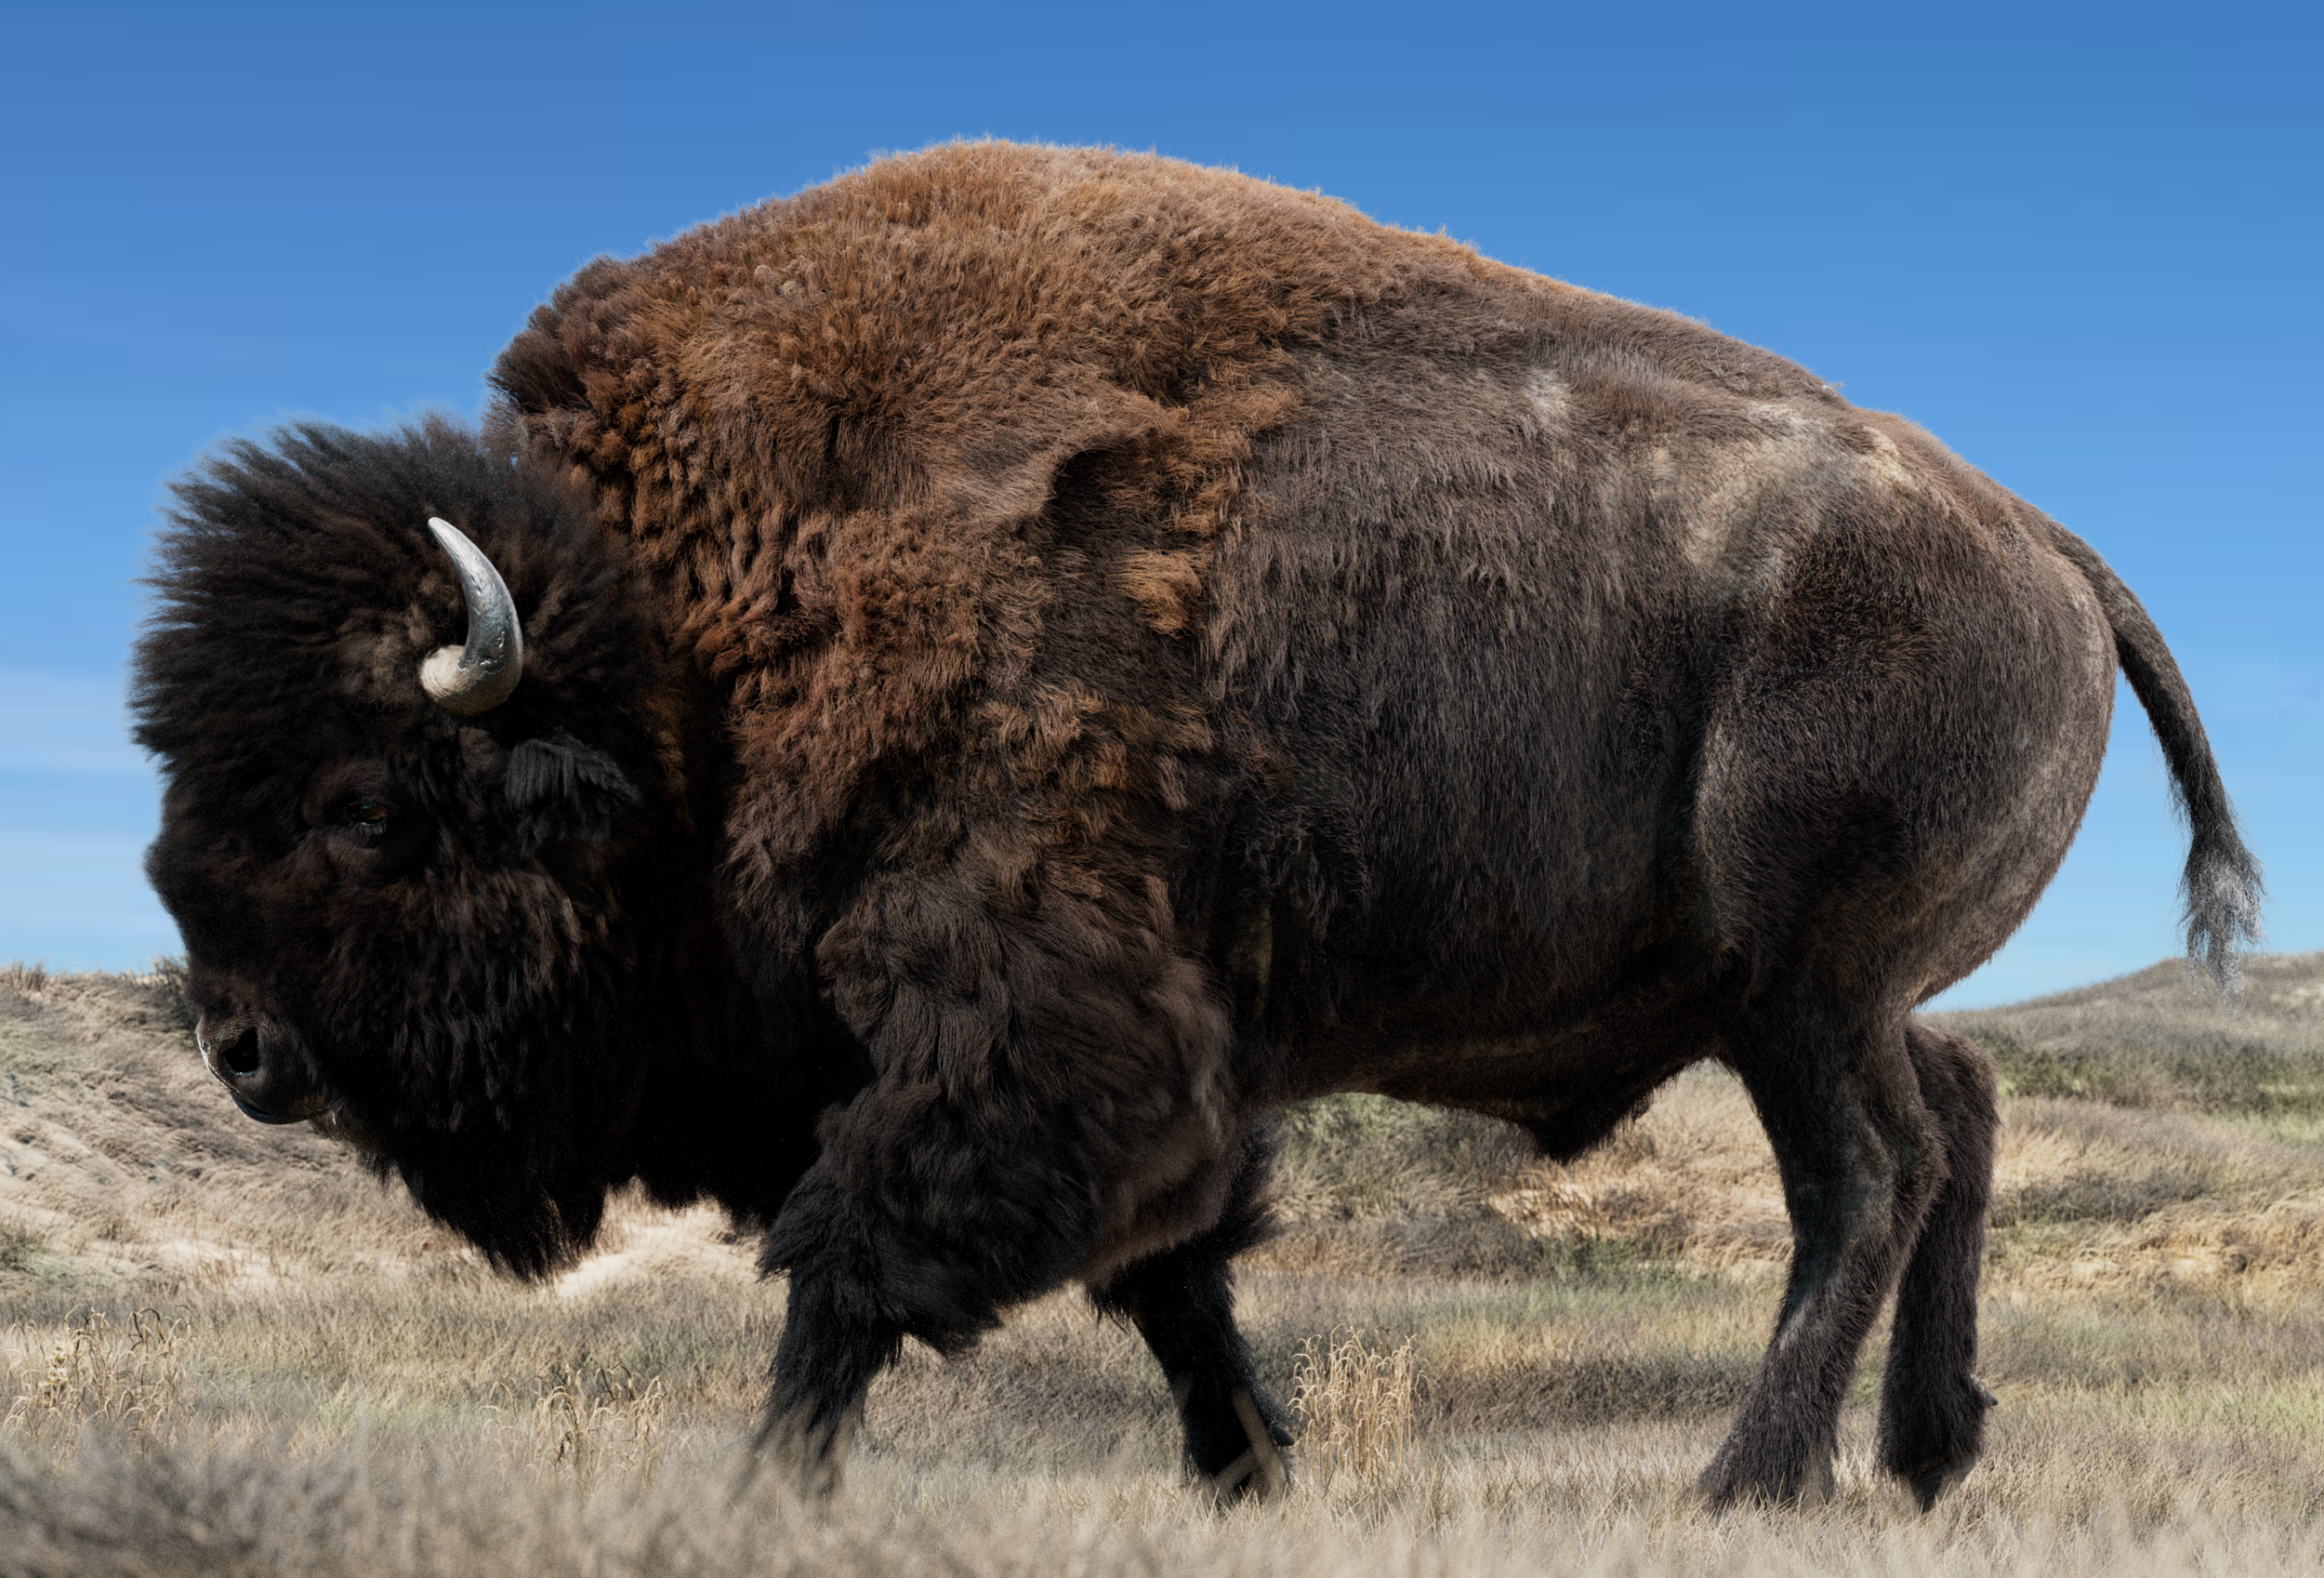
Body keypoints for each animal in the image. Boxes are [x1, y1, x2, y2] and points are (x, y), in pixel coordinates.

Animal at [133, 142, 2260, 1509]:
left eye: (359, 806)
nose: (240, 1046)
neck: (684, 648)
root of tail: (2039, 540)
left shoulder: (1013, 1022)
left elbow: (867, 1257)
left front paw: (765, 1486)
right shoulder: (1153, 1049)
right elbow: (1169, 1269)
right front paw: (1250, 1471)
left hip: (1796, 986)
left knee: (1868, 1176)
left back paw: (1745, 1483)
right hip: (1829, 991)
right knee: (1960, 1112)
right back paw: (1923, 1454)